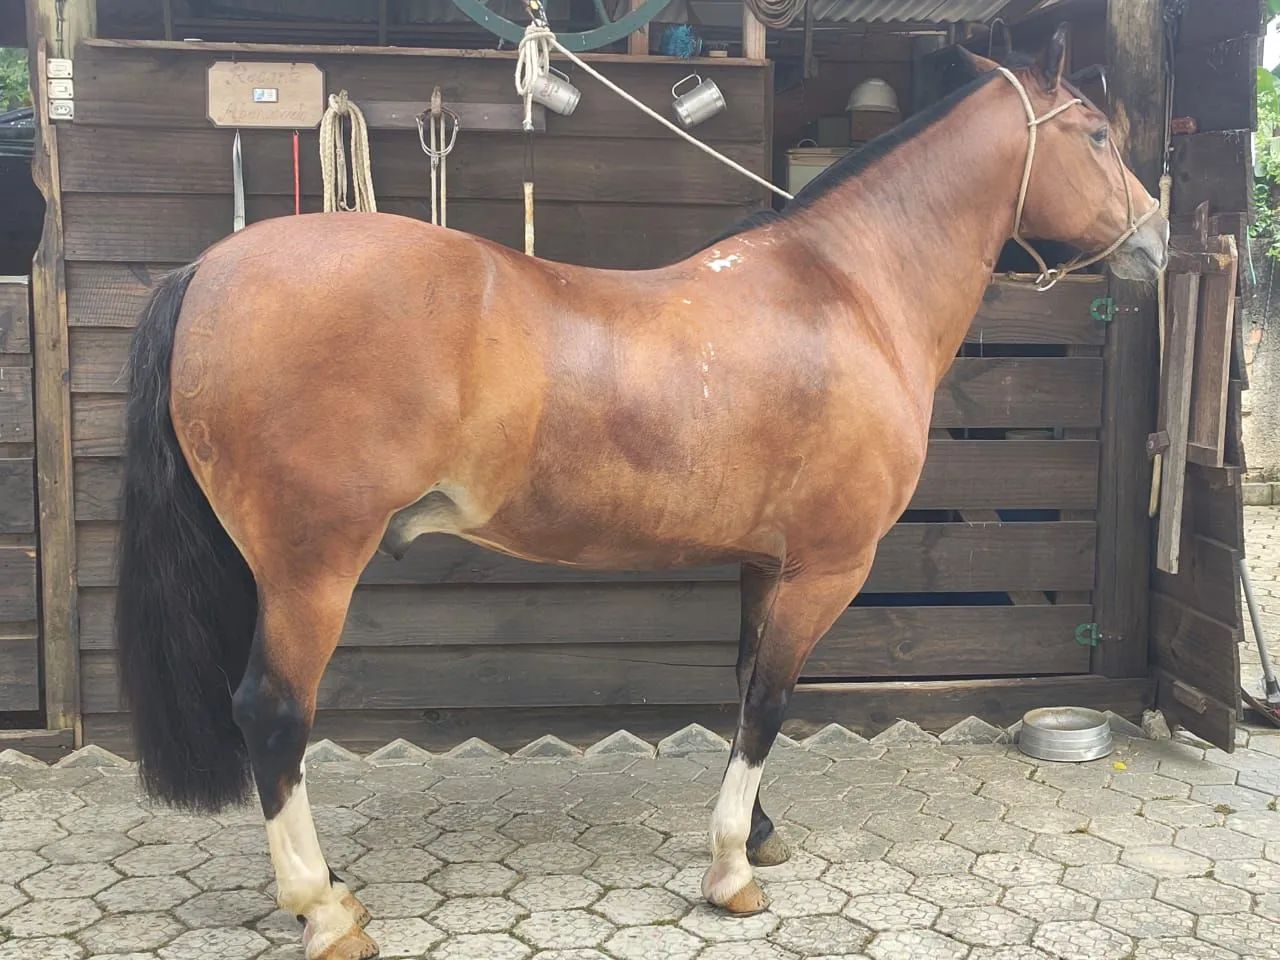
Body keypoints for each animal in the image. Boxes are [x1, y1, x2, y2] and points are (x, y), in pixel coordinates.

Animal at [115, 31, 1166, 960]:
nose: (1155, 236)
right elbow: (772, 701)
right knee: (273, 712)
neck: (845, 292)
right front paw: (731, 870)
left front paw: (760, 832)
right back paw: (324, 911)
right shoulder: (826, 569)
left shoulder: (766, 564)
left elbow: (744, 687)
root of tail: (209, 269)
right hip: (312, 569)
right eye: (1096, 135)